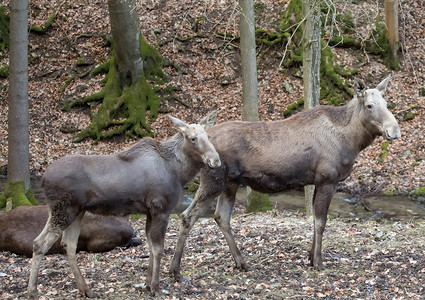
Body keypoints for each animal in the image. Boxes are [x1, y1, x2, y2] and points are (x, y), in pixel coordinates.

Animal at [27, 112, 220, 298]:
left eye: (209, 136)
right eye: (193, 138)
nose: (215, 160)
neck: (178, 172)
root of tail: (43, 179)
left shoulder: (149, 211)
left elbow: (150, 246)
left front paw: (147, 284)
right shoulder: (161, 208)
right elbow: (158, 249)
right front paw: (156, 288)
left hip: (75, 212)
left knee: (68, 245)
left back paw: (86, 290)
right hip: (64, 210)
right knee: (39, 243)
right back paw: (33, 291)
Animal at [168, 75, 398, 282]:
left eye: (387, 104)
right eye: (369, 105)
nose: (394, 131)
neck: (352, 141)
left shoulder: (317, 181)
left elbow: (314, 220)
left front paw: (310, 257)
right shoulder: (328, 179)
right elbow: (320, 222)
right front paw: (319, 261)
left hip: (230, 183)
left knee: (220, 217)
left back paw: (241, 262)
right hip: (213, 180)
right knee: (187, 216)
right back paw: (175, 270)